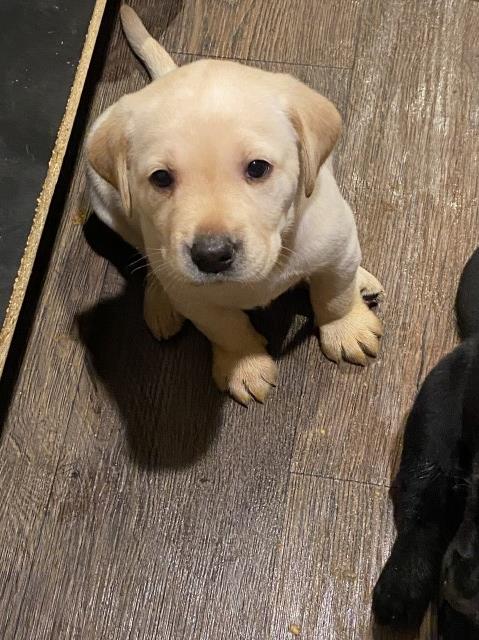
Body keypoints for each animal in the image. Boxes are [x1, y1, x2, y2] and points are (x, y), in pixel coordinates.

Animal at [87, 6, 386, 404]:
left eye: (257, 168)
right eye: (161, 178)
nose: (211, 256)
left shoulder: (334, 245)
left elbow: (334, 293)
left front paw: (345, 327)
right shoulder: (195, 297)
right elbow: (226, 327)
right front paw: (244, 366)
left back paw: (361, 280)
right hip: (107, 202)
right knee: (149, 257)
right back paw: (160, 301)